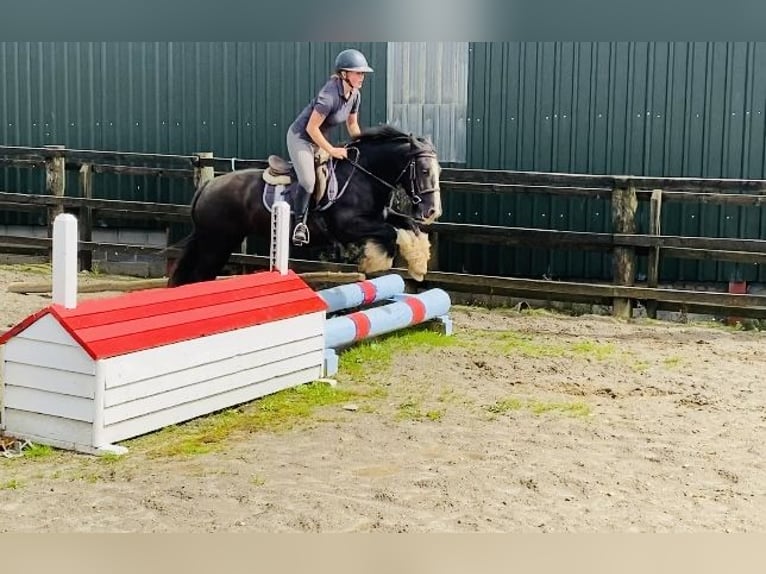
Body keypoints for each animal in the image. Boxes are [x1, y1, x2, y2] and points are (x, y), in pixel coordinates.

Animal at [168, 125, 444, 288]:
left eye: (438, 170)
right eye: (423, 170)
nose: (432, 212)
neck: (362, 175)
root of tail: (207, 187)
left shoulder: (381, 215)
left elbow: (408, 226)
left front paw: (418, 265)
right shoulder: (348, 226)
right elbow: (391, 232)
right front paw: (375, 261)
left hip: (224, 241)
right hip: (215, 242)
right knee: (199, 275)